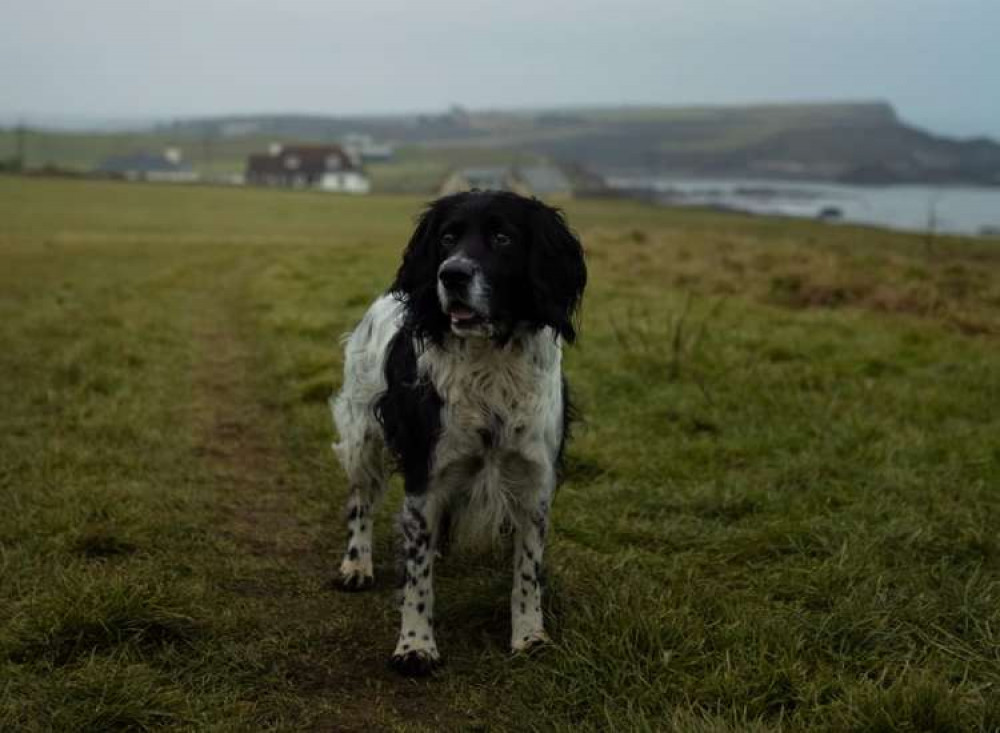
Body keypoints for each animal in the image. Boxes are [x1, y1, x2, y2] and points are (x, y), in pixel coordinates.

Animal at [332, 189, 588, 676]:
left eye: (503, 237)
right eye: (448, 237)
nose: (450, 274)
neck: (491, 362)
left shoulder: (534, 480)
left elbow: (528, 572)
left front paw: (530, 636)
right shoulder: (425, 474)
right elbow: (417, 578)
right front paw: (415, 645)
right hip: (362, 435)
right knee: (361, 501)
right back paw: (356, 565)